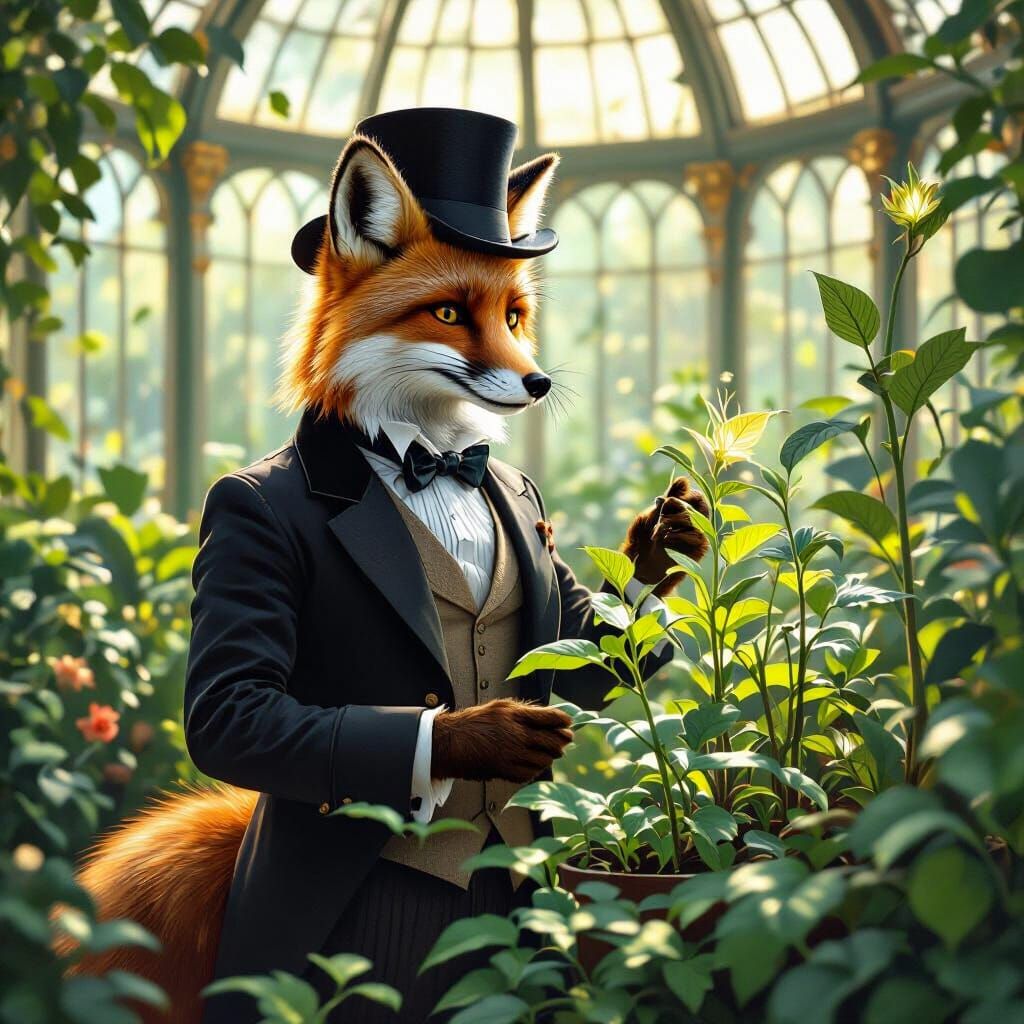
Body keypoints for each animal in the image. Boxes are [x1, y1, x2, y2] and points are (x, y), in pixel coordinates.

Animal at [63, 119, 709, 1024]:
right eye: (447, 313)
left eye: (514, 315)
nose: (539, 380)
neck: (431, 463)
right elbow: (239, 711)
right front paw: (480, 733)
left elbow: (595, 642)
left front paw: (658, 544)